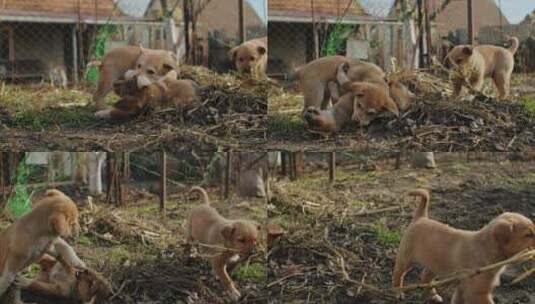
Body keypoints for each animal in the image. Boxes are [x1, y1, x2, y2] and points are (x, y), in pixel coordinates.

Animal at [394, 189, 535, 302]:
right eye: (528, 234)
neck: (485, 248)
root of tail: (420, 218)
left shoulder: (464, 288)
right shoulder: (477, 292)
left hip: (434, 265)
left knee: (425, 277)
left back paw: (434, 296)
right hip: (406, 257)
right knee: (398, 273)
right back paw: (398, 293)